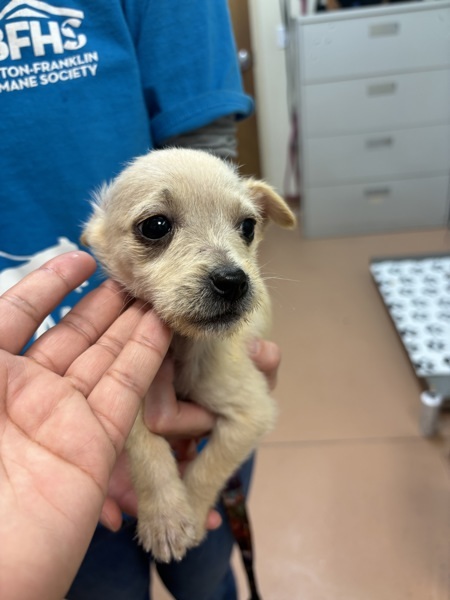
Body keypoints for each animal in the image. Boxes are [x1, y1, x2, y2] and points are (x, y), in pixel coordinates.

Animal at [82, 146, 298, 564]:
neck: (183, 345)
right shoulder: (128, 399)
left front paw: (191, 516)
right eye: (155, 226)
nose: (234, 281)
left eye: (248, 227)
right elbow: (146, 451)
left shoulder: (252, 414)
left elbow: (207, 467)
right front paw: (164, 518)